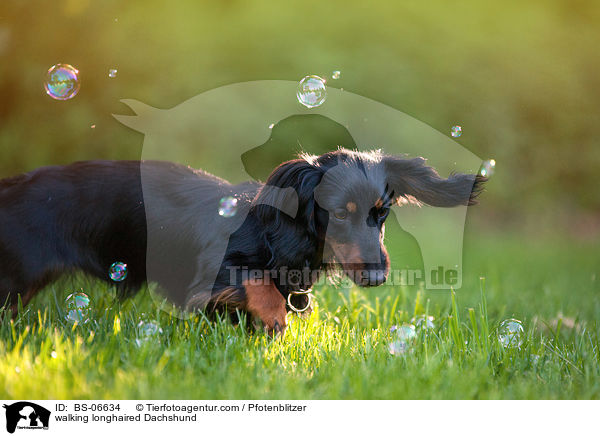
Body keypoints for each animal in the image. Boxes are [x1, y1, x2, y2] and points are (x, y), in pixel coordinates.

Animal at [0, 149, 482, 334]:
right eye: (341, 213)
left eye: (380, 214)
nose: (378, 277)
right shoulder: (210, 272)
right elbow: (258, 283)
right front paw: (274, 321)